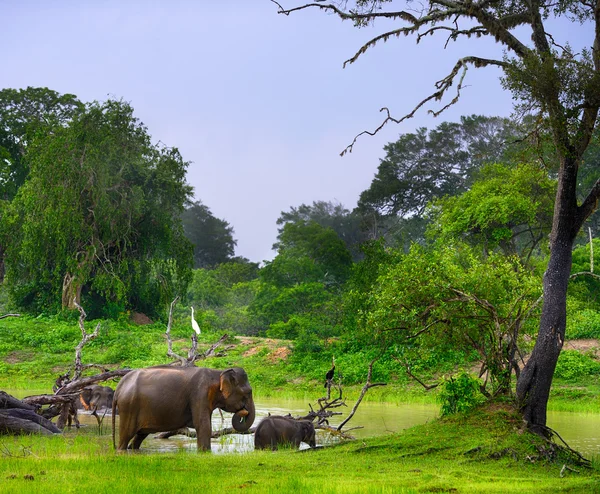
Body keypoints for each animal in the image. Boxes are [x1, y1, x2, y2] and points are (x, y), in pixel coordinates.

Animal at [111, 364, 254, 454]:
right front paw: (205, 453)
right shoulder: (199, 394)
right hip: (129, 407)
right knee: (126, 435)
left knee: (140, 436)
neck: (218, 373)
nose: (243, 410)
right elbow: (203, 425)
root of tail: (119, 387)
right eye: (248, 392)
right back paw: (121, 451)